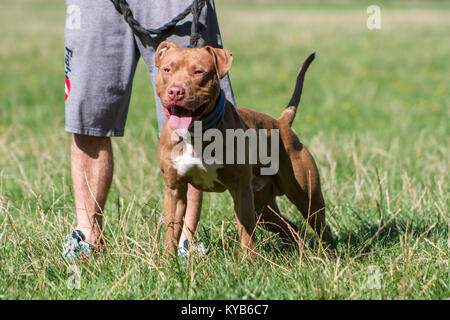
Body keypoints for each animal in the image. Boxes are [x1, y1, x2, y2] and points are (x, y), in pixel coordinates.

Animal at [156, 40, 332, 260]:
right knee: (288, 227)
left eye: (198, 71)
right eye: (167, 69)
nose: (175, 91)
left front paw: (249, 262)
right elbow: (171, 230)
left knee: (321, 225)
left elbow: (246, 231)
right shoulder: (174, 191)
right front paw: (166, 262)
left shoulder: (240, 189)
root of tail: (282, 122)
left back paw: (330, 255)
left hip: (305, 197)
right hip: (263, 207)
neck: (195, 133)